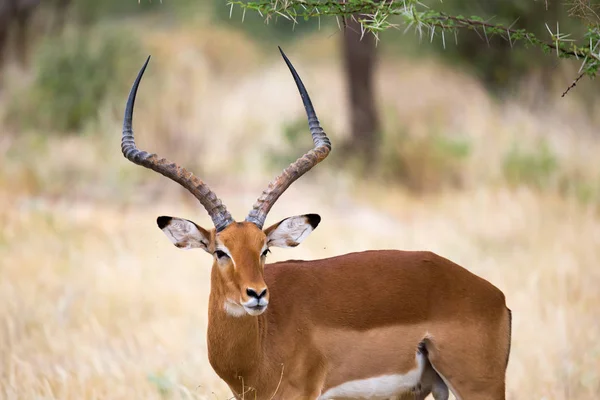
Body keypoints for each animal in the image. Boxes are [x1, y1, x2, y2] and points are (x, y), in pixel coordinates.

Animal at [120, 47, 510, 400]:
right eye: (220, 251)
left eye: (264, 250)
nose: (256, 294)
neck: (261, 343)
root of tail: (495, 296)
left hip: (479, 387)